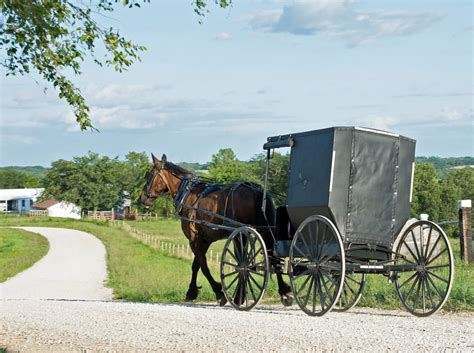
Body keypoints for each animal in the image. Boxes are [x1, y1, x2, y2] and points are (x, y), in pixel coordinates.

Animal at [139, 153, 290, 306]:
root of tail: (257, 190)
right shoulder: (205, 239)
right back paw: (282, 291)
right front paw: (192, 291)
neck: (187, 193)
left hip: (239, 234)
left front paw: (218, 292)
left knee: (244, 263)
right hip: (260, 231)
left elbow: (202, 266)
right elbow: (196, 265)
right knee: (272, 257)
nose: (142, 198)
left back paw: (239, 297)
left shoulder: (194, 239)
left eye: (149, 175)